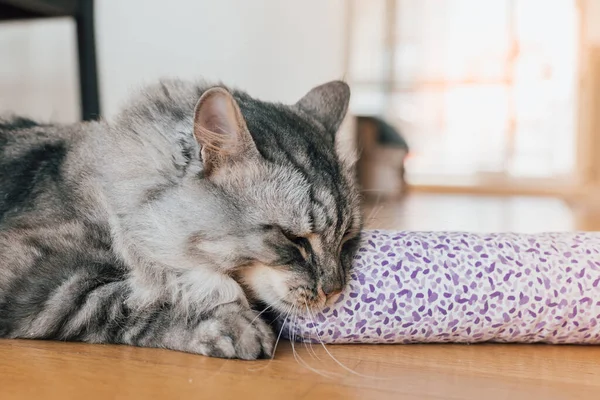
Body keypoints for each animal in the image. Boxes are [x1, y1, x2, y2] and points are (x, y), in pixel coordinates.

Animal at [0, 78, 360, 360]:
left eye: (346, 238)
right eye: (293, 239)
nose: (335, 291)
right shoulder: (45, 281)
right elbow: (136, 301)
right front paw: (235, 326)